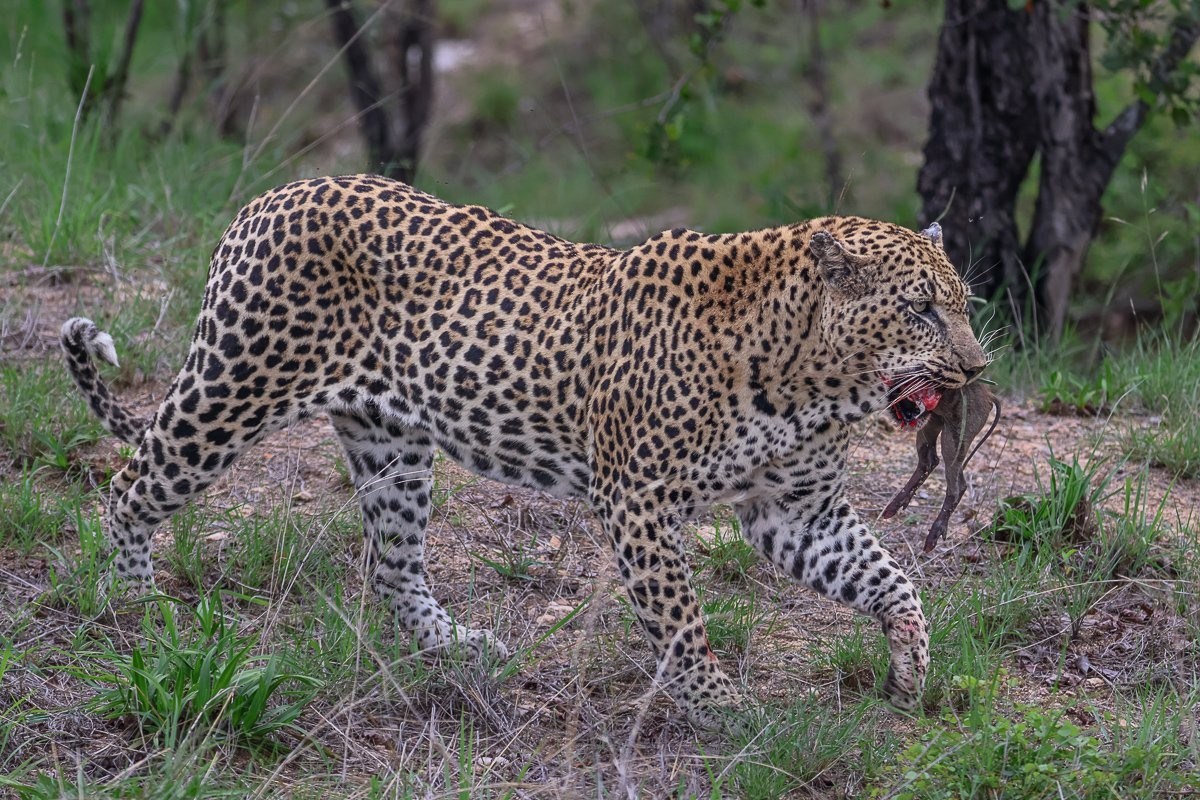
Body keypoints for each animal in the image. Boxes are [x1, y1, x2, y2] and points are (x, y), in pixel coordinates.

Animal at [62, 174, 987, 728]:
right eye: (919, 309)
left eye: (965, 305)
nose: (978, 368)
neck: (808, 377)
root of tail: (275, 193)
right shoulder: (640, 500)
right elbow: (682, 623)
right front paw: (721, 708)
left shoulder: (796, 509)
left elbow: (888, 578)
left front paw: (911, 667)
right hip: (234, 388)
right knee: (128, 488)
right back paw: (131, 606)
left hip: (392, 445)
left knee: (390, 565)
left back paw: (460, 648)